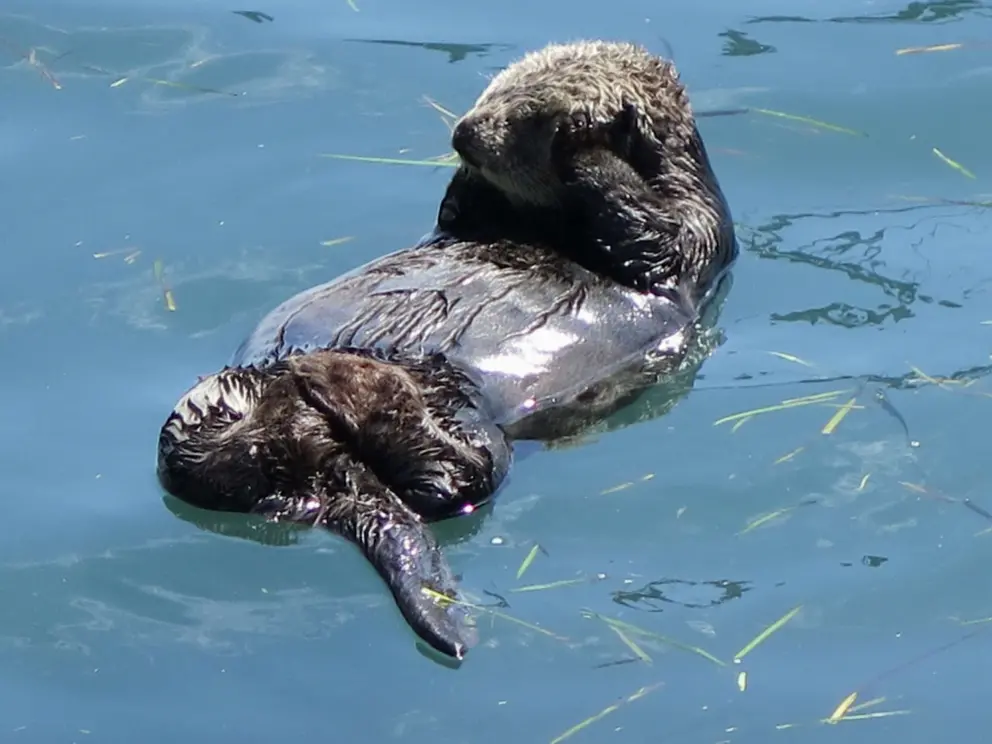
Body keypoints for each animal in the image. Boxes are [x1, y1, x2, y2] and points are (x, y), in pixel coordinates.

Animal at [156, 40, 738, 661]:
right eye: (492, 91)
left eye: (526, 117)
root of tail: (316, 463)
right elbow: (459, 212)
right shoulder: (473, 218)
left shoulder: (695, 230)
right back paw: (335, 375)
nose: (463, 132)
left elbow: (649, 231)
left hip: (473, 426)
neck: (547, 223)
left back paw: (352, 379)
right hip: (219, 400)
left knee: (454, 479)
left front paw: (583, 144)